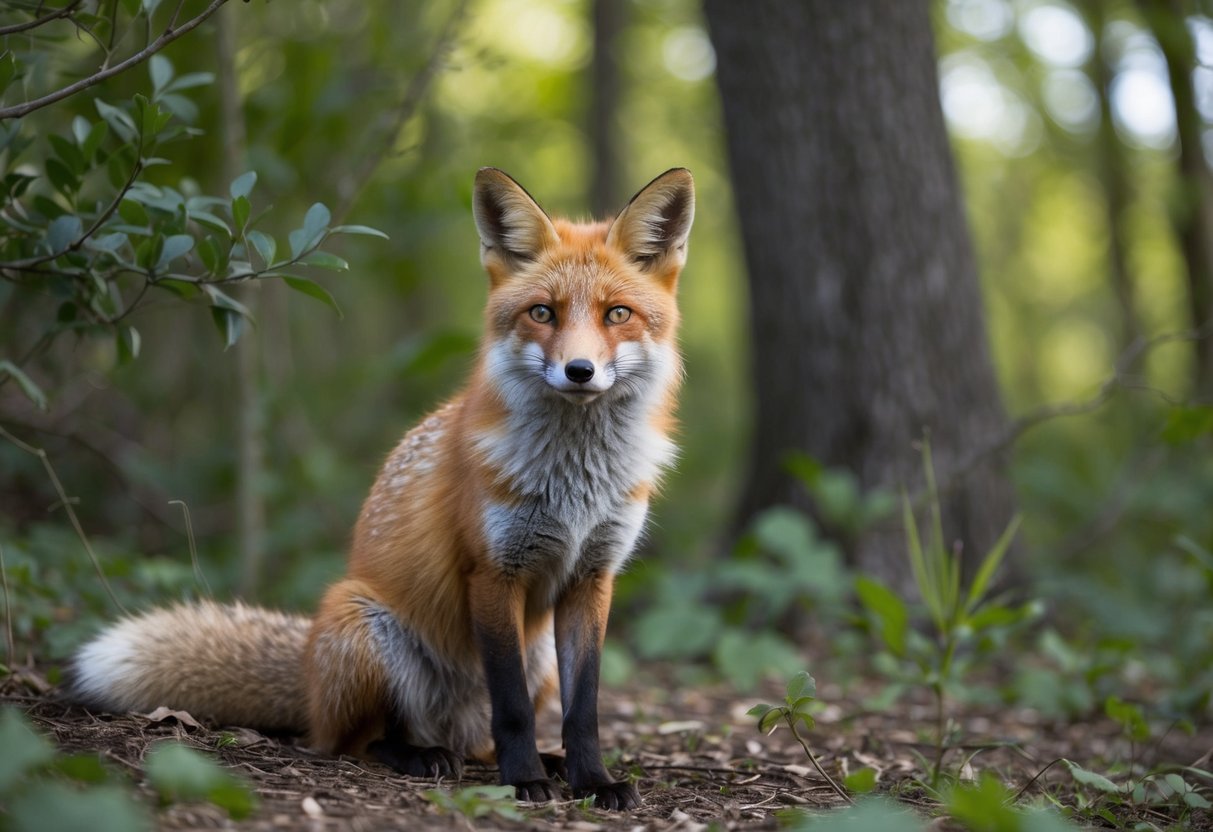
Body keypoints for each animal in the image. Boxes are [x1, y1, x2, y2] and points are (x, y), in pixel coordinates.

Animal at [67, 167, 695, 810]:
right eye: (542, 313)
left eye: (616, 314)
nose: (579, 371)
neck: (574, 485)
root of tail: (309, 680)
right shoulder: (492, 572)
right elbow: (514, 709)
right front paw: (523, 781)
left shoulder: (592, 577)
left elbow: (584, 709)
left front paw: (592, 781)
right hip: (366, 630)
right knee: (359, 740)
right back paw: (422, 755)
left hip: (537, 653)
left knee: (475, 739)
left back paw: (521, 758)